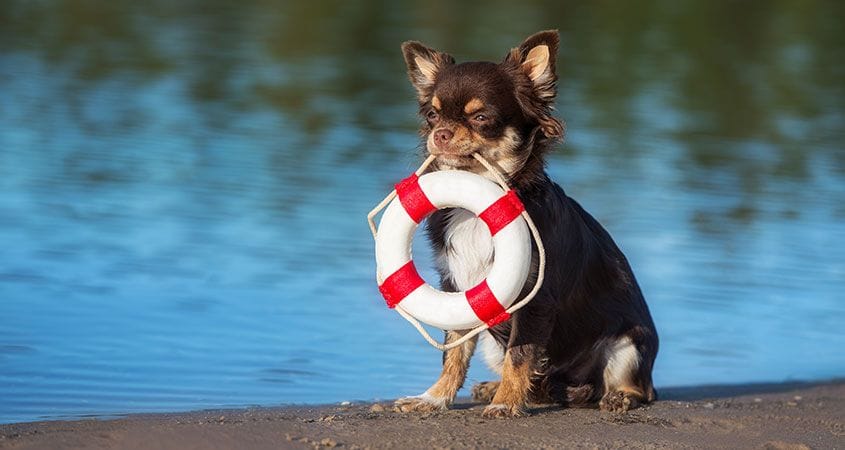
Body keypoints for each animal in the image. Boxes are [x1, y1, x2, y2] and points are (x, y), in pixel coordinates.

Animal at [392, 30, 656, 418]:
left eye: (481, 117)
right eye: (432, 114)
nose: (439, 133)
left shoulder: (534, 300)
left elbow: (520, 354)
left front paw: (505, 404)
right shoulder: (459, 289)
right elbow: (454, 351)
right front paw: (434, 398)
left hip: (628, 343)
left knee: (640, 388)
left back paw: (617, 396)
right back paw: (499, 387)